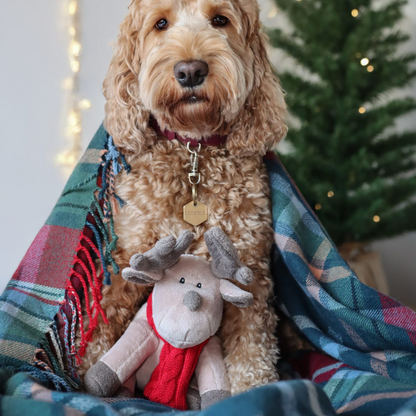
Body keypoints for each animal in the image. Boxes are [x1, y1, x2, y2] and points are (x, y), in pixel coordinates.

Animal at [79, 0, 288, 396]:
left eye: (220, 19)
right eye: (160, 24)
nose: (190, 70)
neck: (194, 148)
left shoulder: (250, 270)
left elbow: (252, 347)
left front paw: (253, 389)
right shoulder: (126, 260)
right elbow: (101, 321)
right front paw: (82, 374)